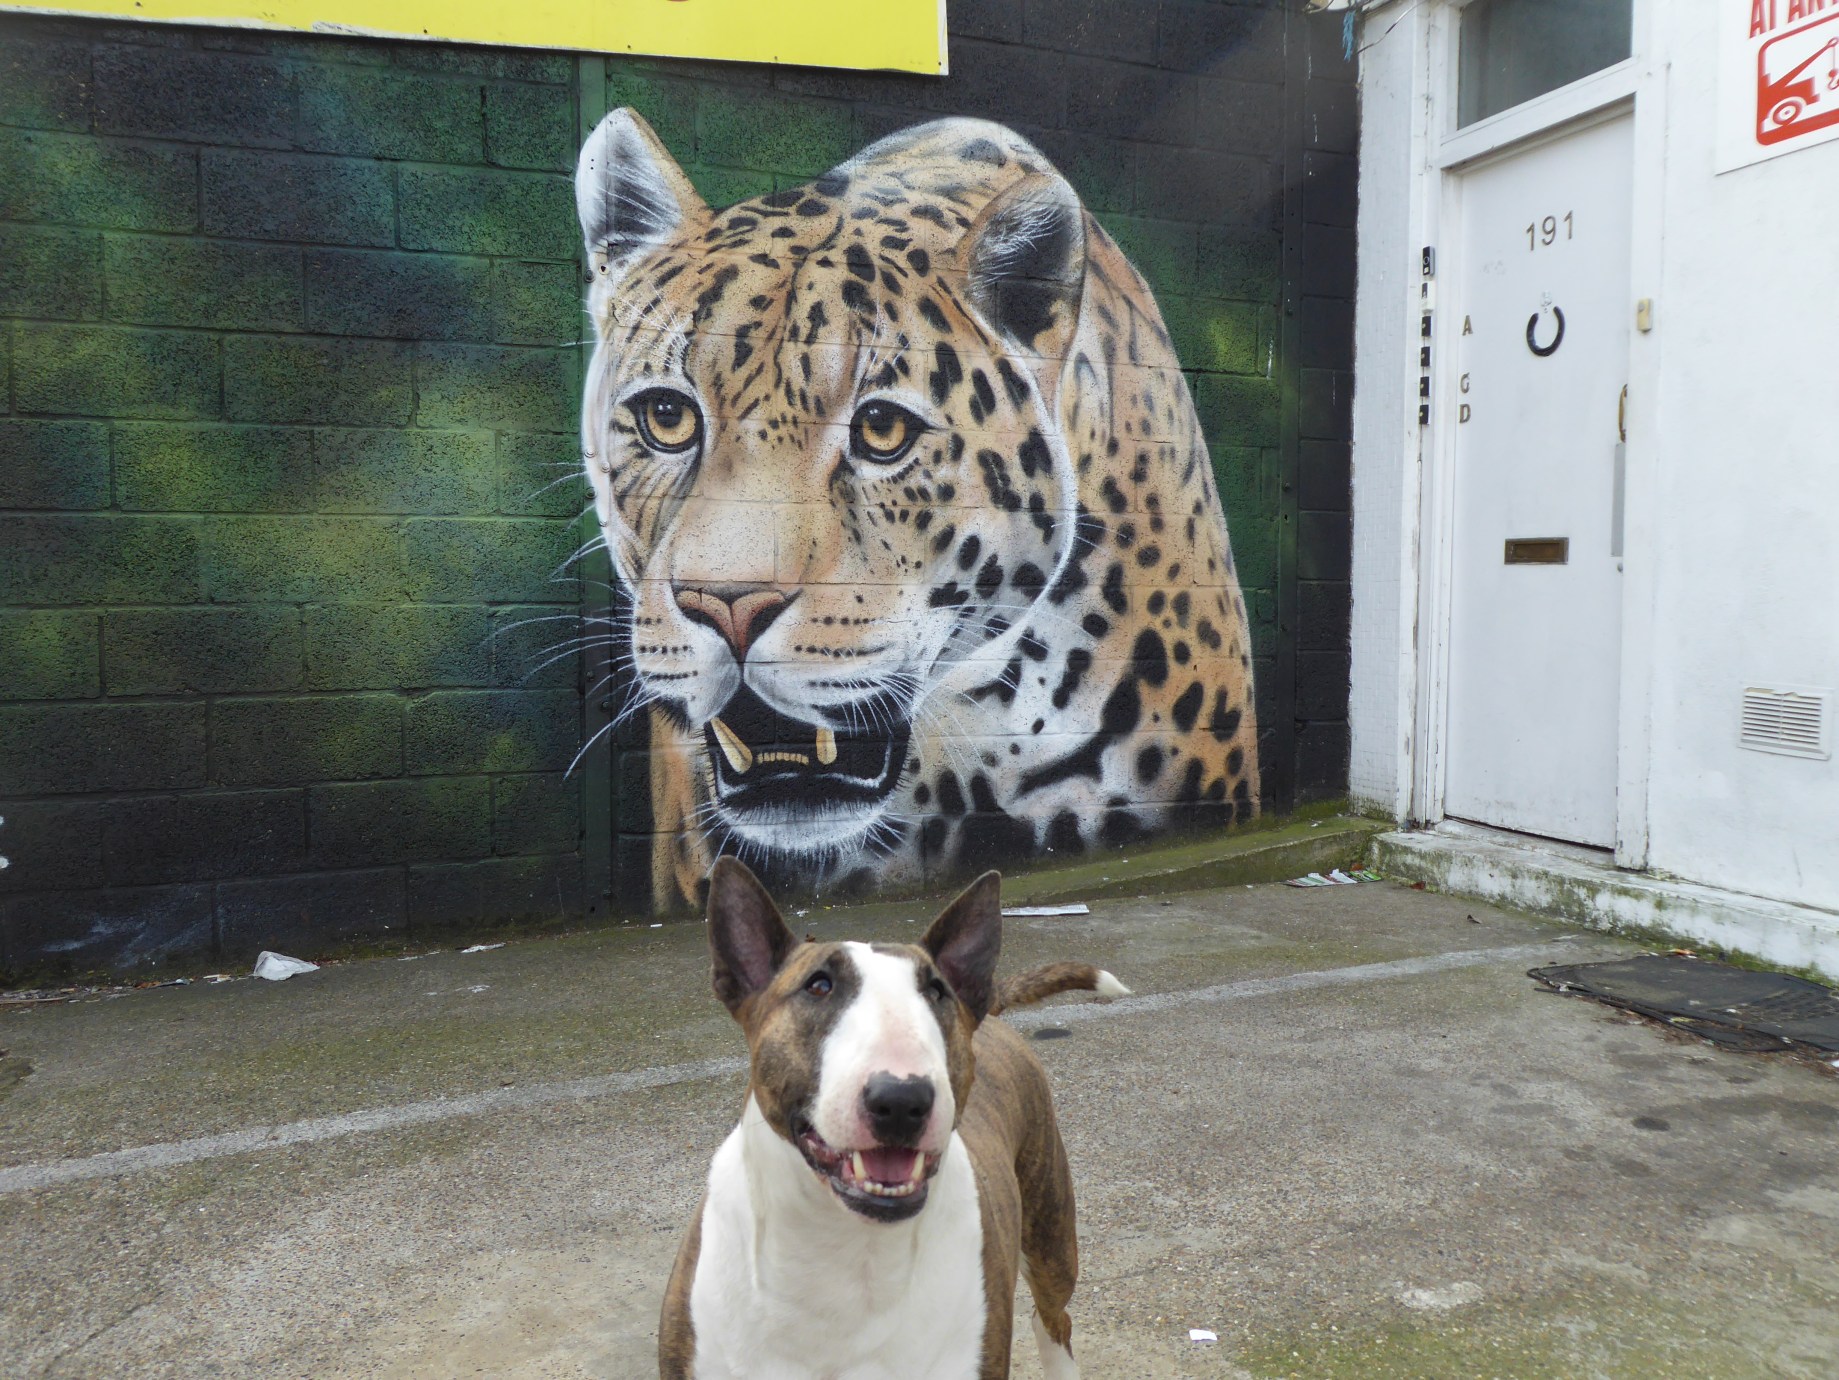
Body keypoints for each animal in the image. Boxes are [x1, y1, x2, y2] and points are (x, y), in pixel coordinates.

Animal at [660, 858, 1129, 1379]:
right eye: (818, 985)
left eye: (936, 991)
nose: (903, 1100)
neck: (845, 1246)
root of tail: (989, 1015)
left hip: (1050, 1233)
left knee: (1054, 1317)